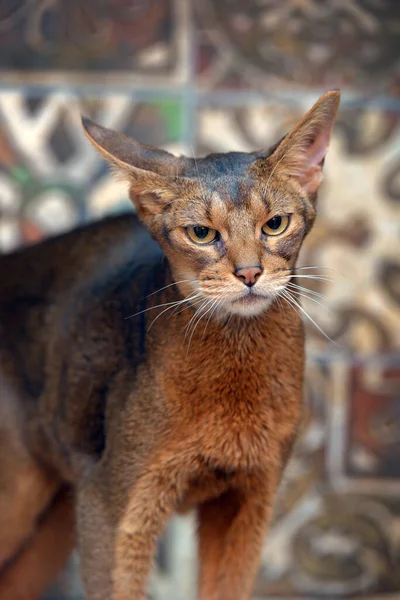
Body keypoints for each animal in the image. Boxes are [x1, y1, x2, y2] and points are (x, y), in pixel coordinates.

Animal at [0, 90, 340, 600]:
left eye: (276, 224)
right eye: (201, 233)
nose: (249, 273)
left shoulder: (247, 498)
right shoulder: (111, 507)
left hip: (53, 520)